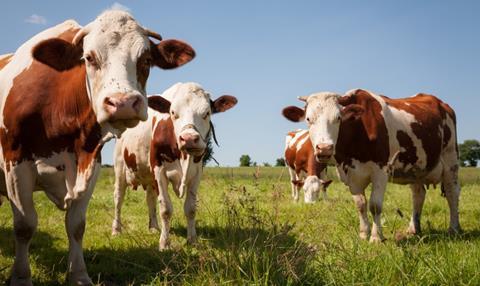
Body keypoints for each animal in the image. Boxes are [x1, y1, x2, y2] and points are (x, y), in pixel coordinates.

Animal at [0, 10, 195, 284]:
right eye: (89, 58)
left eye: (146, 59)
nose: (123, 103)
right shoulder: (15, 162)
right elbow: (25, 225)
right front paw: (20, 277)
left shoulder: (91, 163)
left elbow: (76, 225)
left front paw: (79, 274)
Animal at [111, 81, 238, 249]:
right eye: (173, 113)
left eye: (207, 113)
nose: (189, 138)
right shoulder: (159, 170)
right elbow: (165, 209)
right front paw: (165, 243)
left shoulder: (196, 173)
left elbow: (190, 208)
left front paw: (192, 240)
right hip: (120, 167)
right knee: (118, 198)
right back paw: (116, 230)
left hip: (149, 176)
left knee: (150, 198)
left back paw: (153, 227)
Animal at [284, 89, 460, 241]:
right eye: (308, 119)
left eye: (338, 118)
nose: (324, 148)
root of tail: (441, 103)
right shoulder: (350, 174)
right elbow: (360, 204)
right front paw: (363, 234)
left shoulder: (381, 170)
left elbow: (375, 205)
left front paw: (376, 237)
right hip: (415, 168)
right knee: (418, 195)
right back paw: (413, 229)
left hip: (450, 158)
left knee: (452, 192)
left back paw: (454, 229)